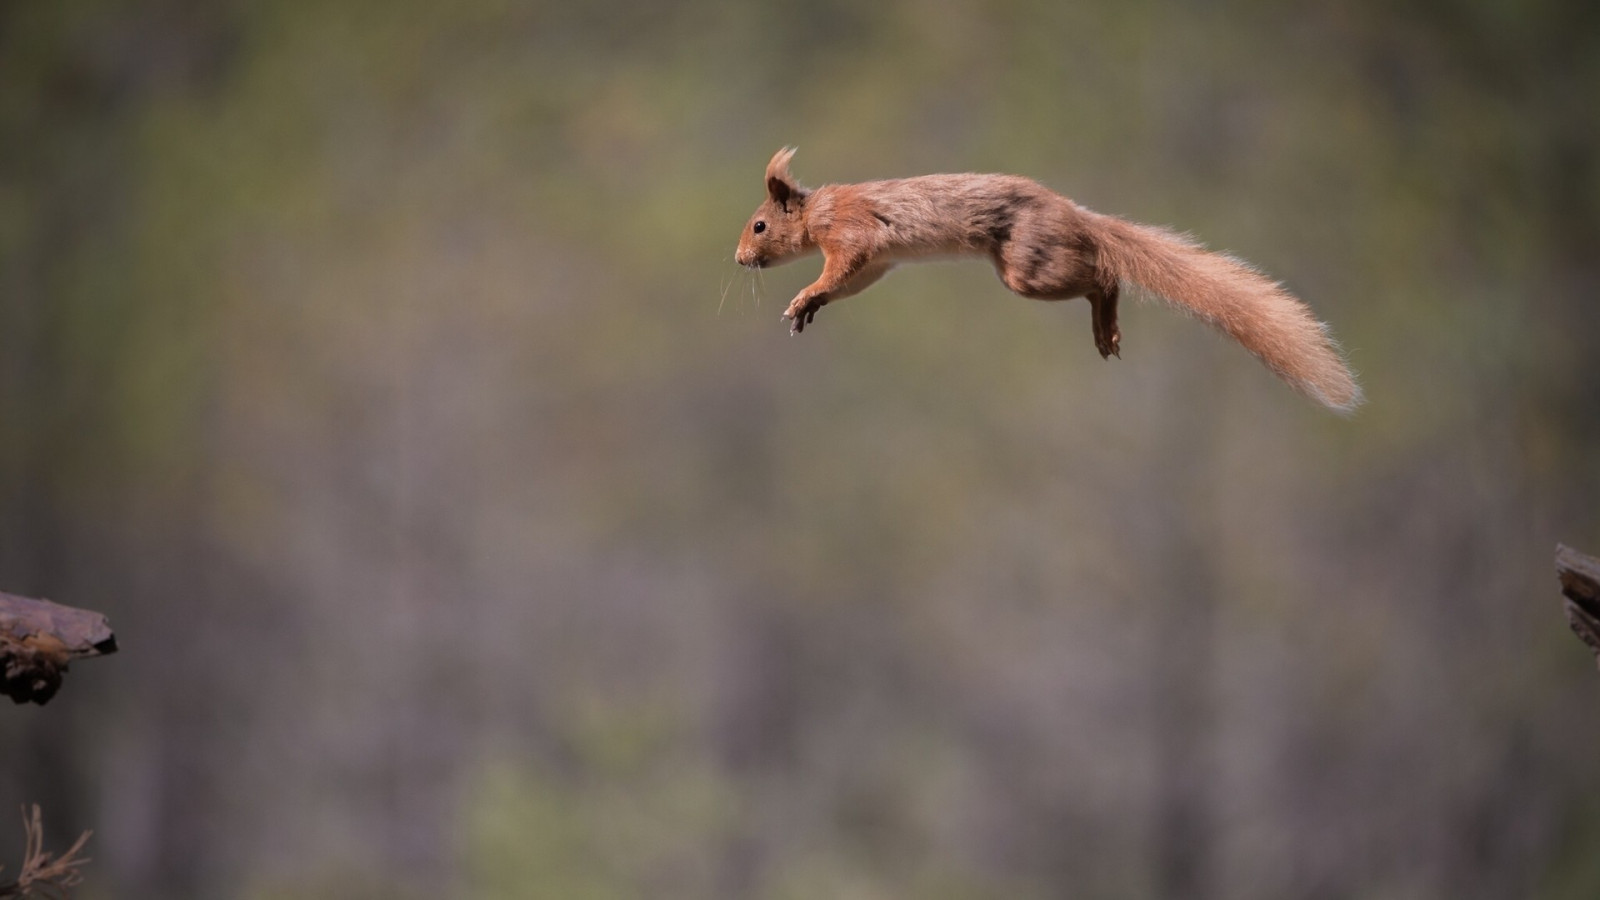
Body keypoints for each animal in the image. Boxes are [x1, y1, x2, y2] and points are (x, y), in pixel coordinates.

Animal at [735, 147, 1362, 412]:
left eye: (759, 225)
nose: (740, 259)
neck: (816, 212)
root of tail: (1076, 215)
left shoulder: (852, 232)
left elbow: (841, 266)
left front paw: (805, 294)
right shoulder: (877, 263)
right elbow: (852, 282)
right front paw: (811, 307)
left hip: (1028, 267)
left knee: (1103, 273)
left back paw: (1106, 322)